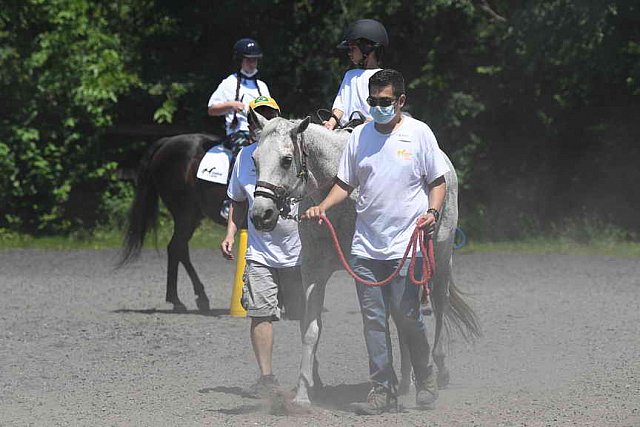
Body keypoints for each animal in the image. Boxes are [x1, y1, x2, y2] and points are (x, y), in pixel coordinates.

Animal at [117, 132, 228, 312]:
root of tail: (167, 141)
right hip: (186, 214)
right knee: (177, 247)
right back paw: (187, 299)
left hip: (192, 216)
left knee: (178, 248)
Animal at [248, 112, 478, 406]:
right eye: (255, 159)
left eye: (286, 160)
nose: (261, 215)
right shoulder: (313, 270)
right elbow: (310, 330)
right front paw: (302, 394)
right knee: (402, 315)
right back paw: (406, 380)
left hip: (439, 257)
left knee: (438, 305)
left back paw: (437, 372)